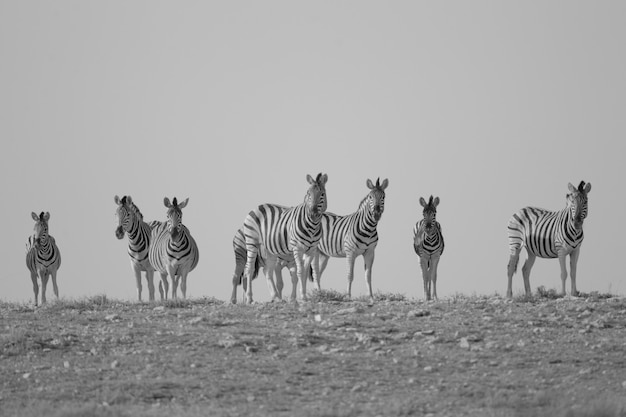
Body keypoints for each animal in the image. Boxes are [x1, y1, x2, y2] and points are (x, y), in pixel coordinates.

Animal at [241, 172, 326, 302]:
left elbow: (304, 272)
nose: (313, 213)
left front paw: (301, 297)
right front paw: (302, 296)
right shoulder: (297, 248)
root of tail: (258, 206)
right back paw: (249, 299)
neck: (313, 226)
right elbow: (300, 271)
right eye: (308, 194)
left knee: (268, 271)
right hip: (252, 243)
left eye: (322, 194)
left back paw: (276, 298)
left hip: (269, 249)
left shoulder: (311, 250)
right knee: (249, 269)